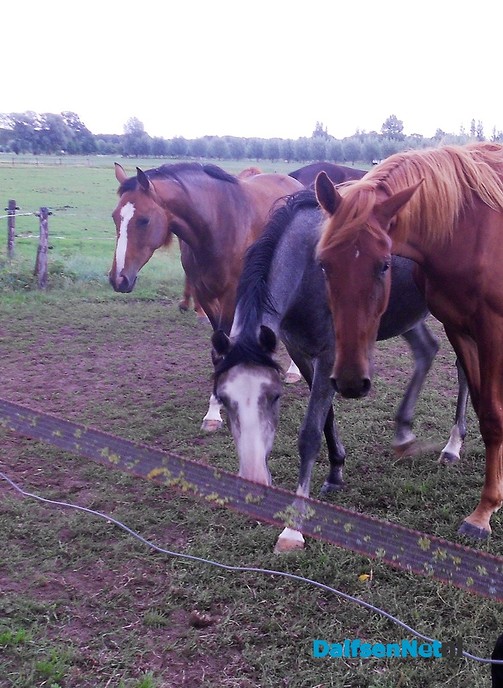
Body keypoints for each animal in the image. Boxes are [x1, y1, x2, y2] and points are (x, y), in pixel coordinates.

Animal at [110, 162, 303, 429]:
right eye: (115, 217)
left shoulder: (231, 295)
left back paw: (295, 370)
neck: (216, 225)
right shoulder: (205, 296)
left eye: (144, 220)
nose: (118, 278)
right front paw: (215, 408)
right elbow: (216, 350)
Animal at [211, 189, 469, 552]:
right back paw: (404, 433)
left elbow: (309, 432)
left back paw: (452, 446)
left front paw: (293, 529)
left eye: (275, 397)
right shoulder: (300, 351)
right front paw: (335, 472)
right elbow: (326, 417)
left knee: (463, 368)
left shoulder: (330, 354)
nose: (254, 478)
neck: (309, 266)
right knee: (426, 350)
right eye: (222, 398)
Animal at [315, 141, 503, 540]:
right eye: (324, 263)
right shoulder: (458, 327)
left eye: (384, 264)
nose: (351, 381)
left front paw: (484, 512)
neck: (468, 230)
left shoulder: (492, 329)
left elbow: (494, 416)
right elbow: (483, 407)